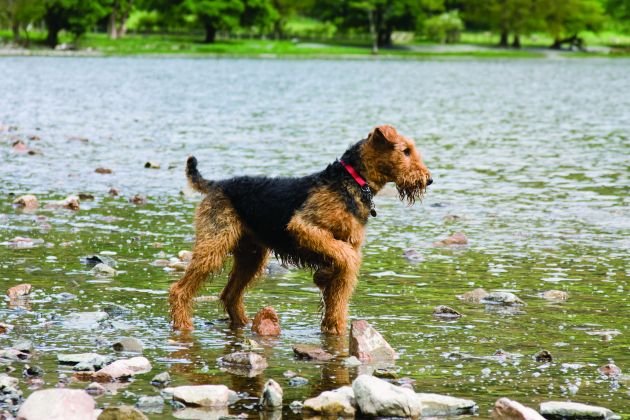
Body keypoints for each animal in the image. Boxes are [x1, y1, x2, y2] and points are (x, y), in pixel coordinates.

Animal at [169, 124, 434, 334]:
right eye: (405, 150)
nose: (428, 179)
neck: (353, 181)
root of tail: (216, 184)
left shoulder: (345, 243)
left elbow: (337, 296)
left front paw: (331, 315)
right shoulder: (303, 226)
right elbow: (346, 257)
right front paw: (324, 277)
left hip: (251, 256)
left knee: (230, 295)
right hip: (214, 244)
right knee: (179, 289)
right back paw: (183, 324)